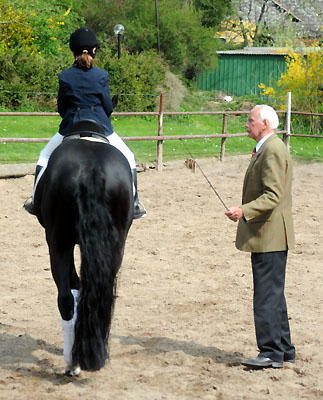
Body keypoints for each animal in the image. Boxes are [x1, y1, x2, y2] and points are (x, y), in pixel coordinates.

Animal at [33, 120, 134, 374]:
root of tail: (91, 168)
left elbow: (74, 284)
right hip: (111, 245)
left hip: (58, 242)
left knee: (66, 299)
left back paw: (73, 363)